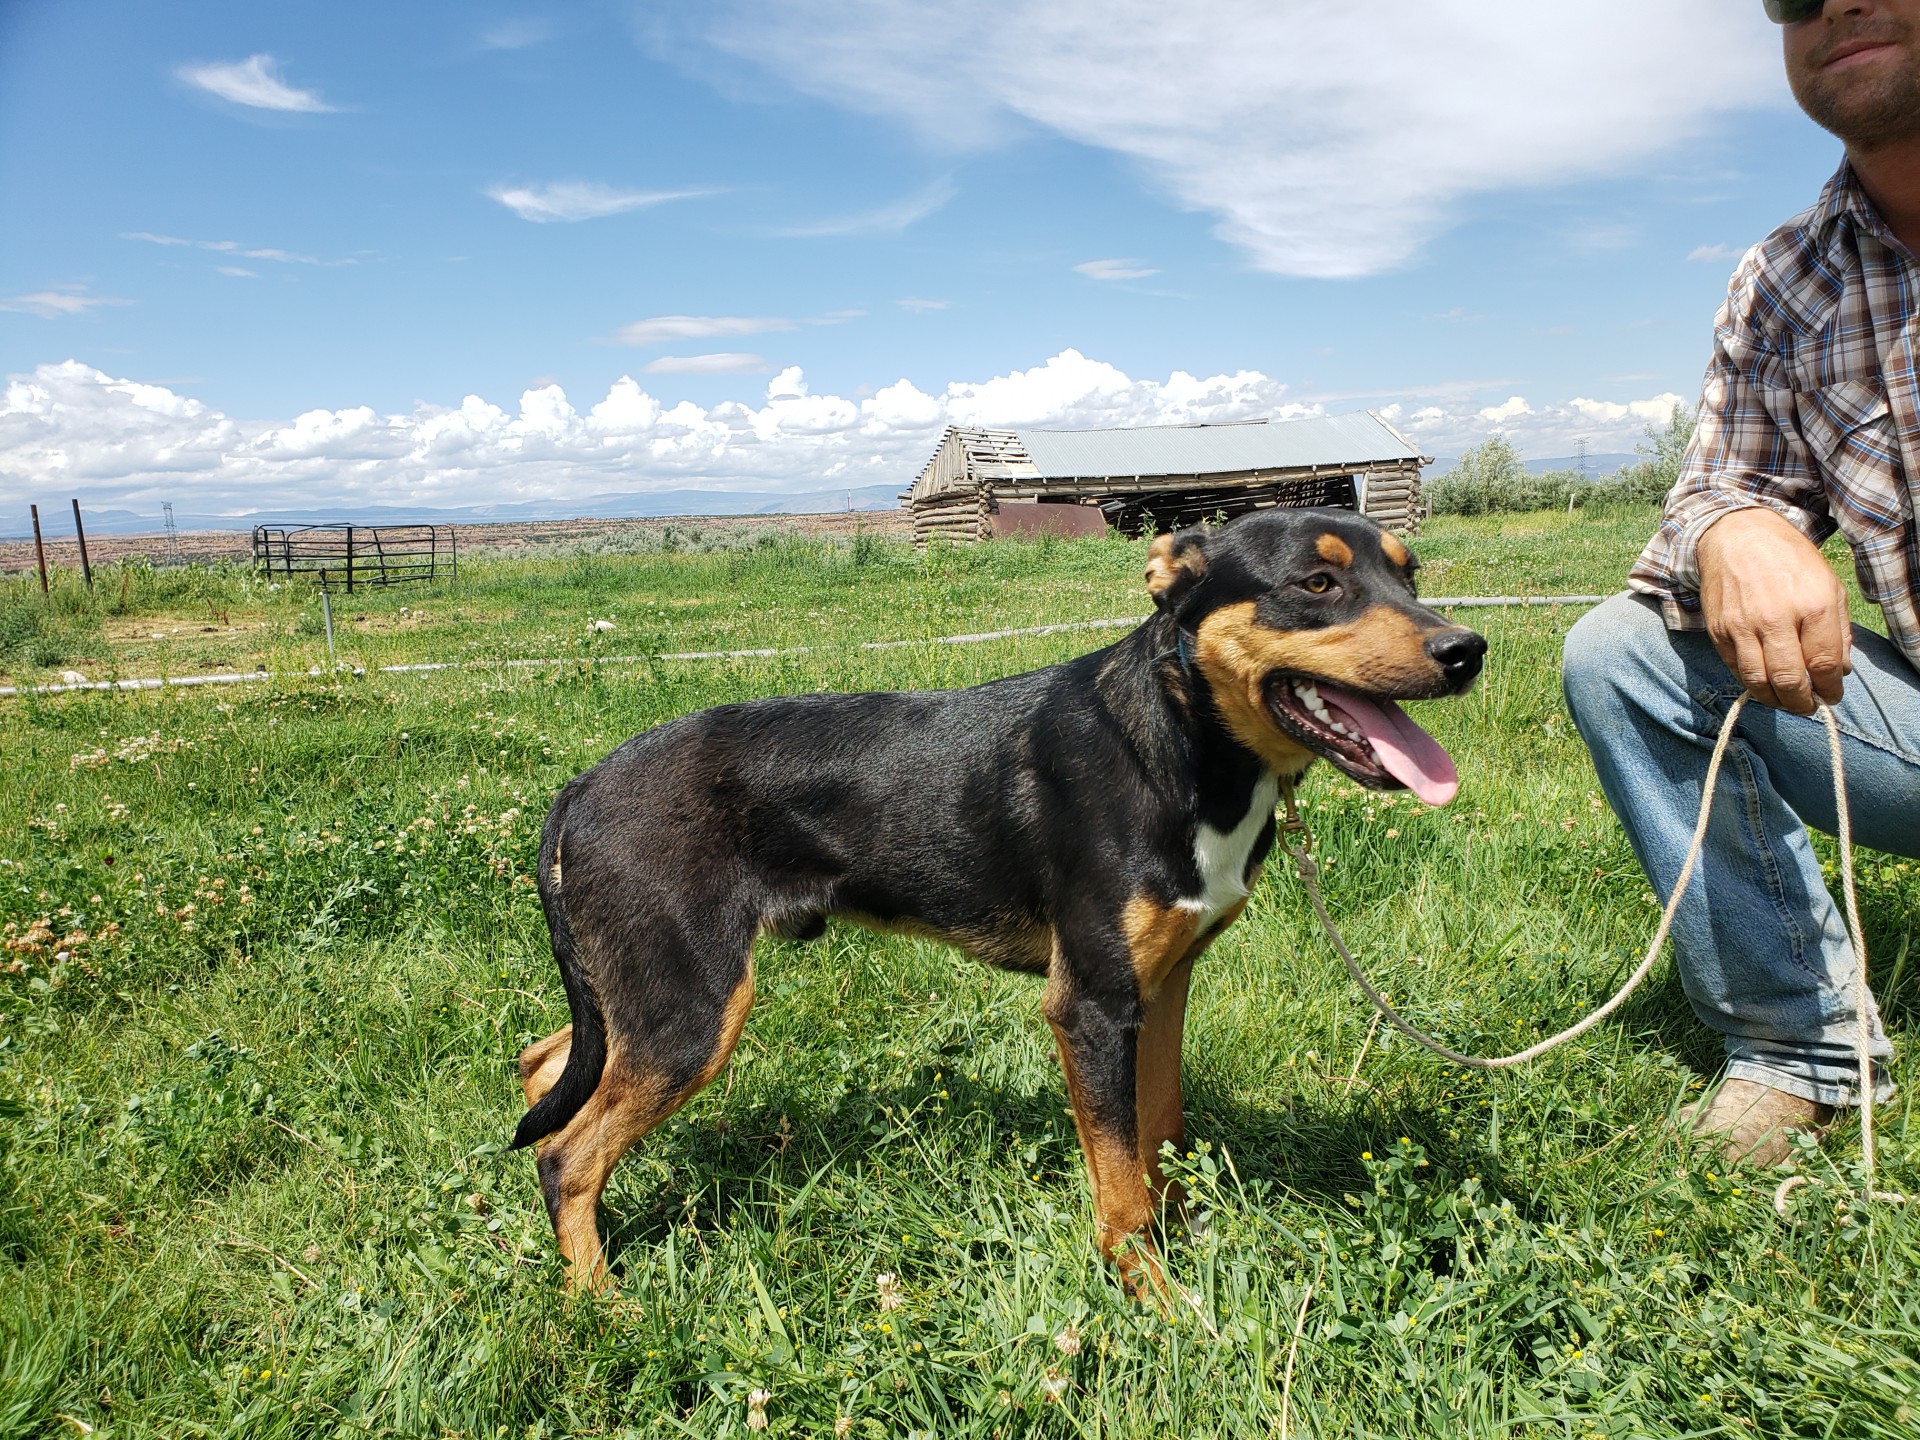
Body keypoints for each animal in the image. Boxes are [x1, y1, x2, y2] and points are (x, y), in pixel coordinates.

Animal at [506, 506, 1482, 1297]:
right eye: (1317, 584)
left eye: (1411, 576)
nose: (1466, 651)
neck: (1177, 743)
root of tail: (580, 788)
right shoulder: (1091, 1006)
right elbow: (1120, 1187)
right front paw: (1159, 1305)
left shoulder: (1162, 987)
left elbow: (1158, 1134)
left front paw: (1182, 1243)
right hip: (693, 1011)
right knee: (564, 1156)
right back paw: (607, 1307)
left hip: (639, 996)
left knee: (547, 1061)